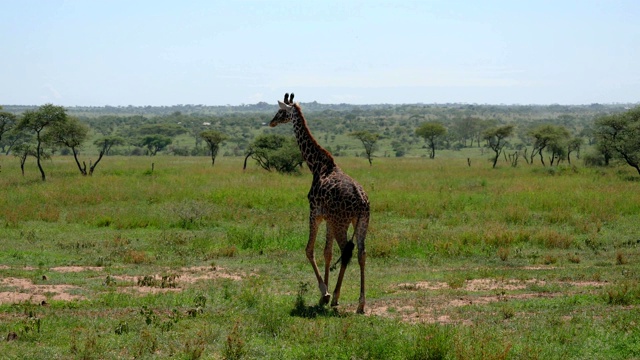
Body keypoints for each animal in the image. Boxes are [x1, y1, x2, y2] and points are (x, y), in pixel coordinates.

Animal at [270, 93, 370, 316]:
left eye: (281, 111)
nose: (271, 122)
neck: (316, 165)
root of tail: (361, 201)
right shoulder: (328, 218)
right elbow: (327, 253)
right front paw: (326, 295)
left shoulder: (314, 212)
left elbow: (309, 249)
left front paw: (325, 293)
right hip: (361, 222)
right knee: (361, 253)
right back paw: (360, 304)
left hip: (342, 222)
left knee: (347, 251)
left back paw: (341, 299)